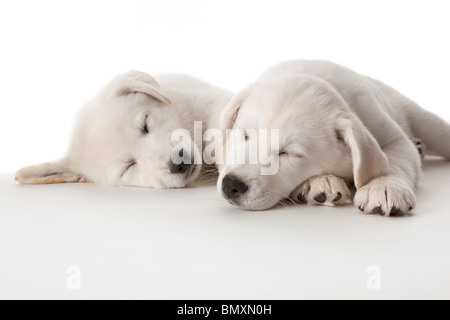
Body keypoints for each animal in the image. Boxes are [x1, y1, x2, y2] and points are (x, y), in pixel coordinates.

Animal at [218, 59, 450, 215]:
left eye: (288, 153)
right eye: (245, 135)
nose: (231, 185)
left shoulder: (391, 135)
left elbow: (393, 161)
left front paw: (384, 186)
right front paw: (322, 182)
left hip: (425, 121)